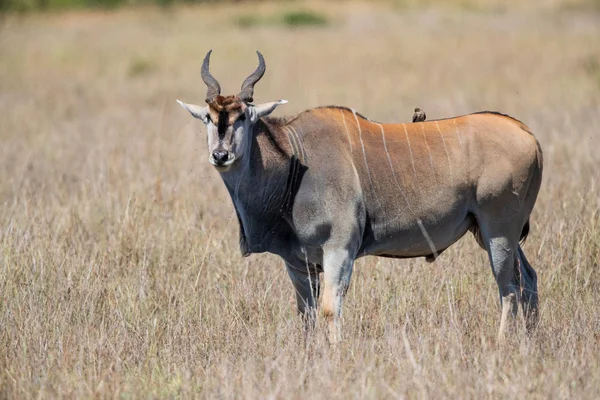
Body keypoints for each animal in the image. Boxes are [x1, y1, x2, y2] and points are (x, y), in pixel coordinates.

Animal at [176, 50, 540, 344]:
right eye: (209, 117)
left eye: (243, 118)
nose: (220, 155)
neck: (295, 158)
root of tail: (528, 134)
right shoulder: (298, 263)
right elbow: (307, 315)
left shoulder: (340, 249)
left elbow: (329, 310)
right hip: (492, 234)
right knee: (529, 279)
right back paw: (531, 341)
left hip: (498, 232)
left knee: (509, 289)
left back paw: (502, 343)